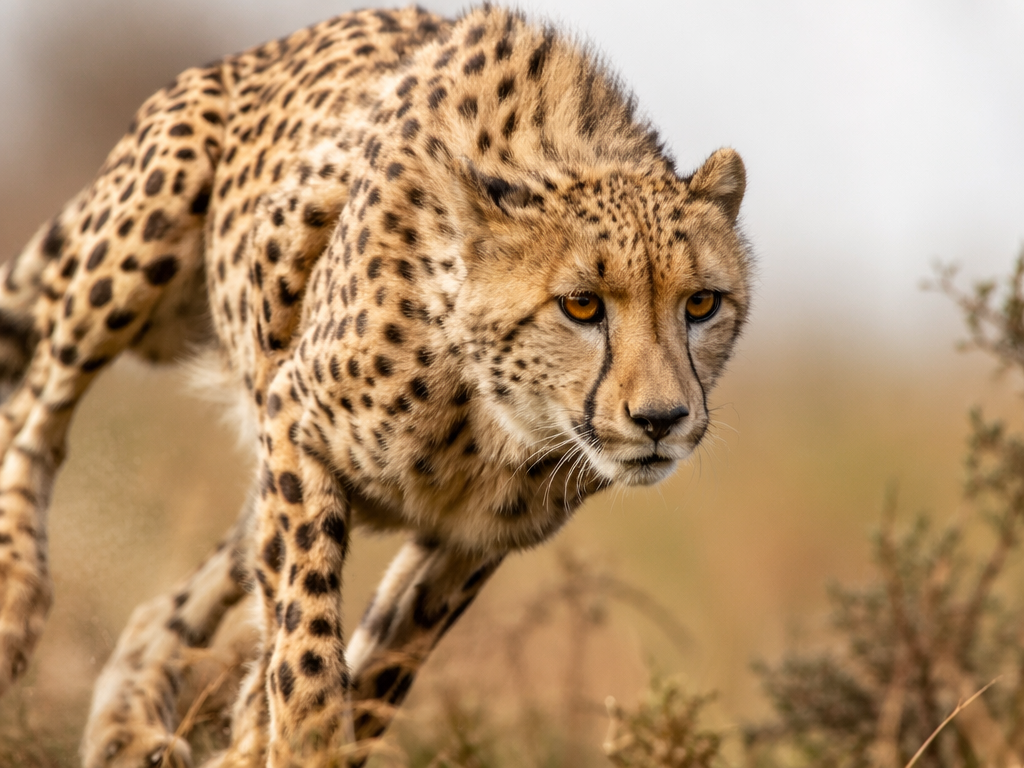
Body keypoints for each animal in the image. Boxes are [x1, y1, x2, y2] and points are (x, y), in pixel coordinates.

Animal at [0, 4, 752, 767]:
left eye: (701, 304)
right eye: (581, 305)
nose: (661, 418)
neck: (489, 417)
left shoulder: (471, 539)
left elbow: (384, 664)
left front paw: (281, 739)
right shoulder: (293, 420)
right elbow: (303, 624)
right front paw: (303, 741)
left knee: (178, 598)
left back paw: (130, 728)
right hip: (144, 230)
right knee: (37, 412)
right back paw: (15, 601)